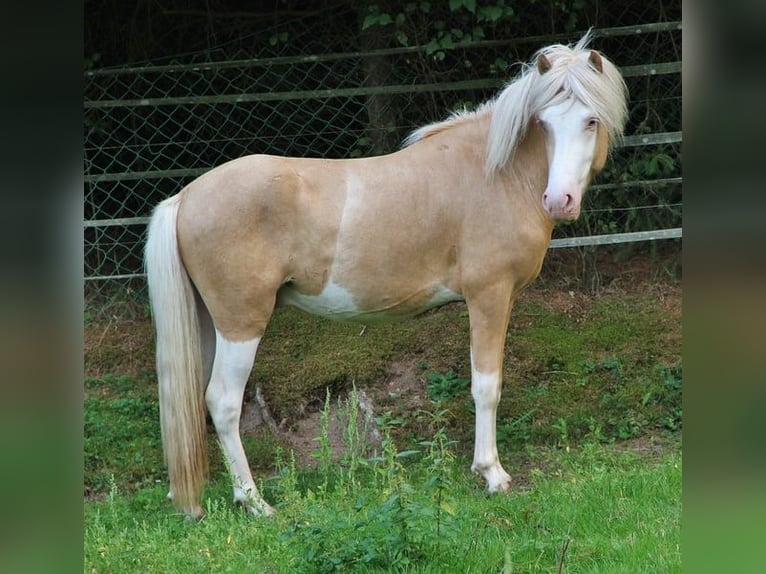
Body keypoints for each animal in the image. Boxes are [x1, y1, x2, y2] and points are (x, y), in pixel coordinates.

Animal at [145, 32, 628, 518]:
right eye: (544, 123)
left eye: (590, 121)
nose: (559, 200)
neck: (495, 175)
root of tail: (185, 197)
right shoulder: (488, 297)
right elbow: (486, 386)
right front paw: (491, 473)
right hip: (241, 324)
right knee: (223, 402)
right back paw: (255, 502)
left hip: (207, 325)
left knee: (192, 401)